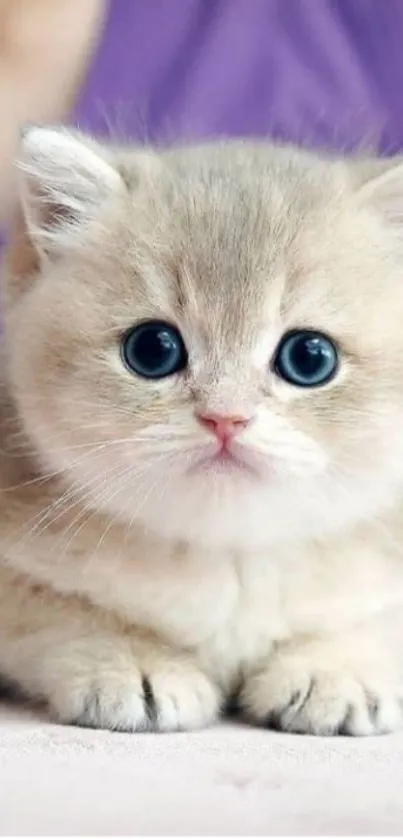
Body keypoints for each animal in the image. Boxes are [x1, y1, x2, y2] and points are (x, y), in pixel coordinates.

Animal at [0, 124, 403, 736]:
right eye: (153, 349)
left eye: (310, 357)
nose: (225, 418)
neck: (230, 556)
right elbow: (60, 612)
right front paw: (129, 660)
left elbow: (372, 621)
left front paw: (335, 669)